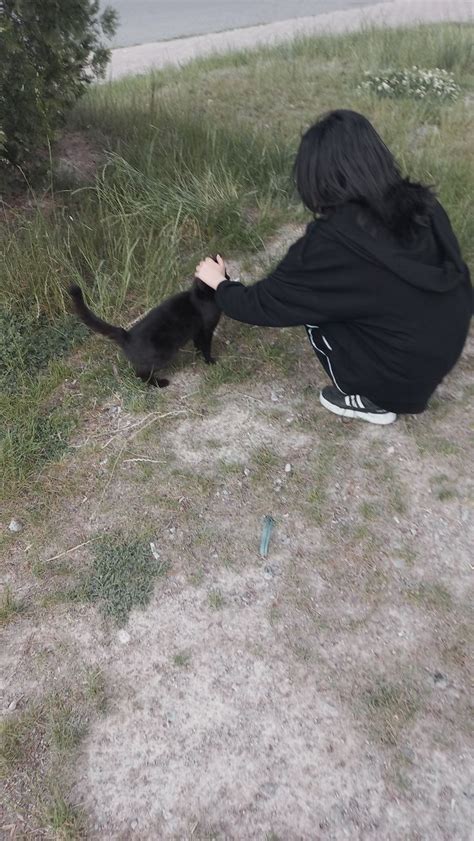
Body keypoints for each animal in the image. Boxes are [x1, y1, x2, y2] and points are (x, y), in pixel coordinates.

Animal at [68, 276, 222, 388]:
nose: (225, 276)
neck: (199, 296)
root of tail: (127, 335)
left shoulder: (197, 331)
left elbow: (198, 345)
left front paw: (199, 355)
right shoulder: (206, 329)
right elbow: (206, 346)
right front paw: (210, 361)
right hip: (162, 355)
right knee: (141, 374)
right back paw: (160, 383)